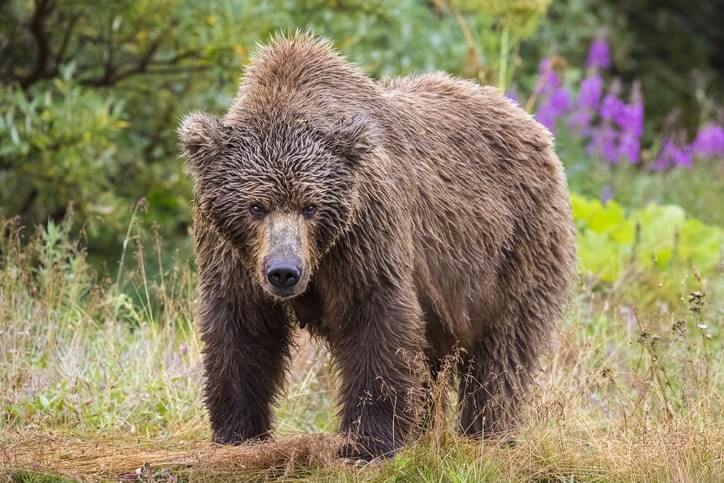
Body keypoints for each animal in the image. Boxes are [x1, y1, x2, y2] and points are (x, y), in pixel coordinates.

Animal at [178, 33, 576, 462]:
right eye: (256, 206)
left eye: (310, 206)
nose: (284, 271)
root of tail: (532, 124)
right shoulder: (232, 252)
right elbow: (241, 329)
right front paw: (237, 434)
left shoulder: (366, 230)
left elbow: (374, 315)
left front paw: (367, 442)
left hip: (515, 245)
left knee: (502, 350)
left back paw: (487, 435)